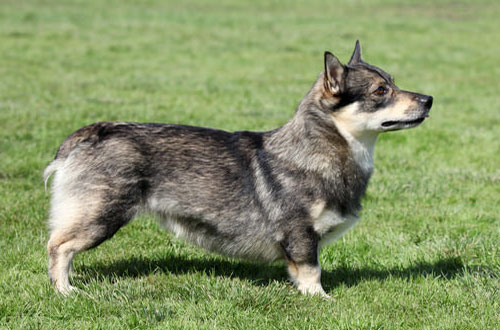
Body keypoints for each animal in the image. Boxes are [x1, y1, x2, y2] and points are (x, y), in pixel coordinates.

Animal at [45, 40, 432, 296]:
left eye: (393, 82)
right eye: (380, 91)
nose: (429, 99)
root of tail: (91, 132)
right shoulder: (300, 234)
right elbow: (311, 272)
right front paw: (320, 300)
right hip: (102, 215)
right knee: (58, 246)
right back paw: (65, 291)